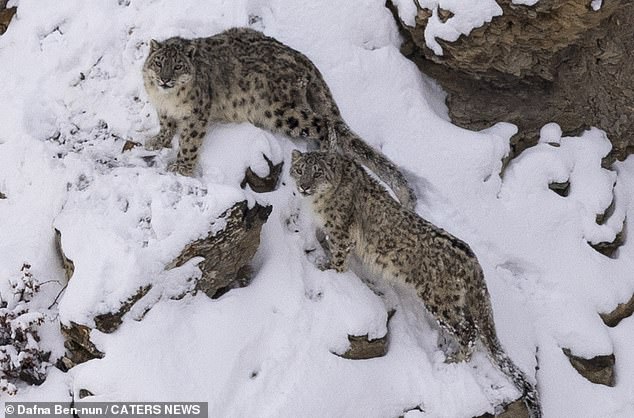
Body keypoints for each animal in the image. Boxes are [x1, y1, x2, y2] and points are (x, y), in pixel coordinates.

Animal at [142, 26, 414, 209]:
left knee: (324, 124)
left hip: (280, 111)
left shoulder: (197, 113)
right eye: (159, 63)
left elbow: (190, 142)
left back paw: (322, 155)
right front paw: (157, 141)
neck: (167, 99)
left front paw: (181, 168)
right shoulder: (163, 110)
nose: (165, 79)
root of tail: (304, 60)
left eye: (178, 65)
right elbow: (166, 126)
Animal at [288, 149, 540, 418]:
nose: (304, 186)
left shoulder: (340, 236)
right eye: (300, 170)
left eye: (317, 173)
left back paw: (451, 361)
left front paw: (326, 270)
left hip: (439, 300)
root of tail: (473, 261)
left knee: (468, 330)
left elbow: (337, 261)